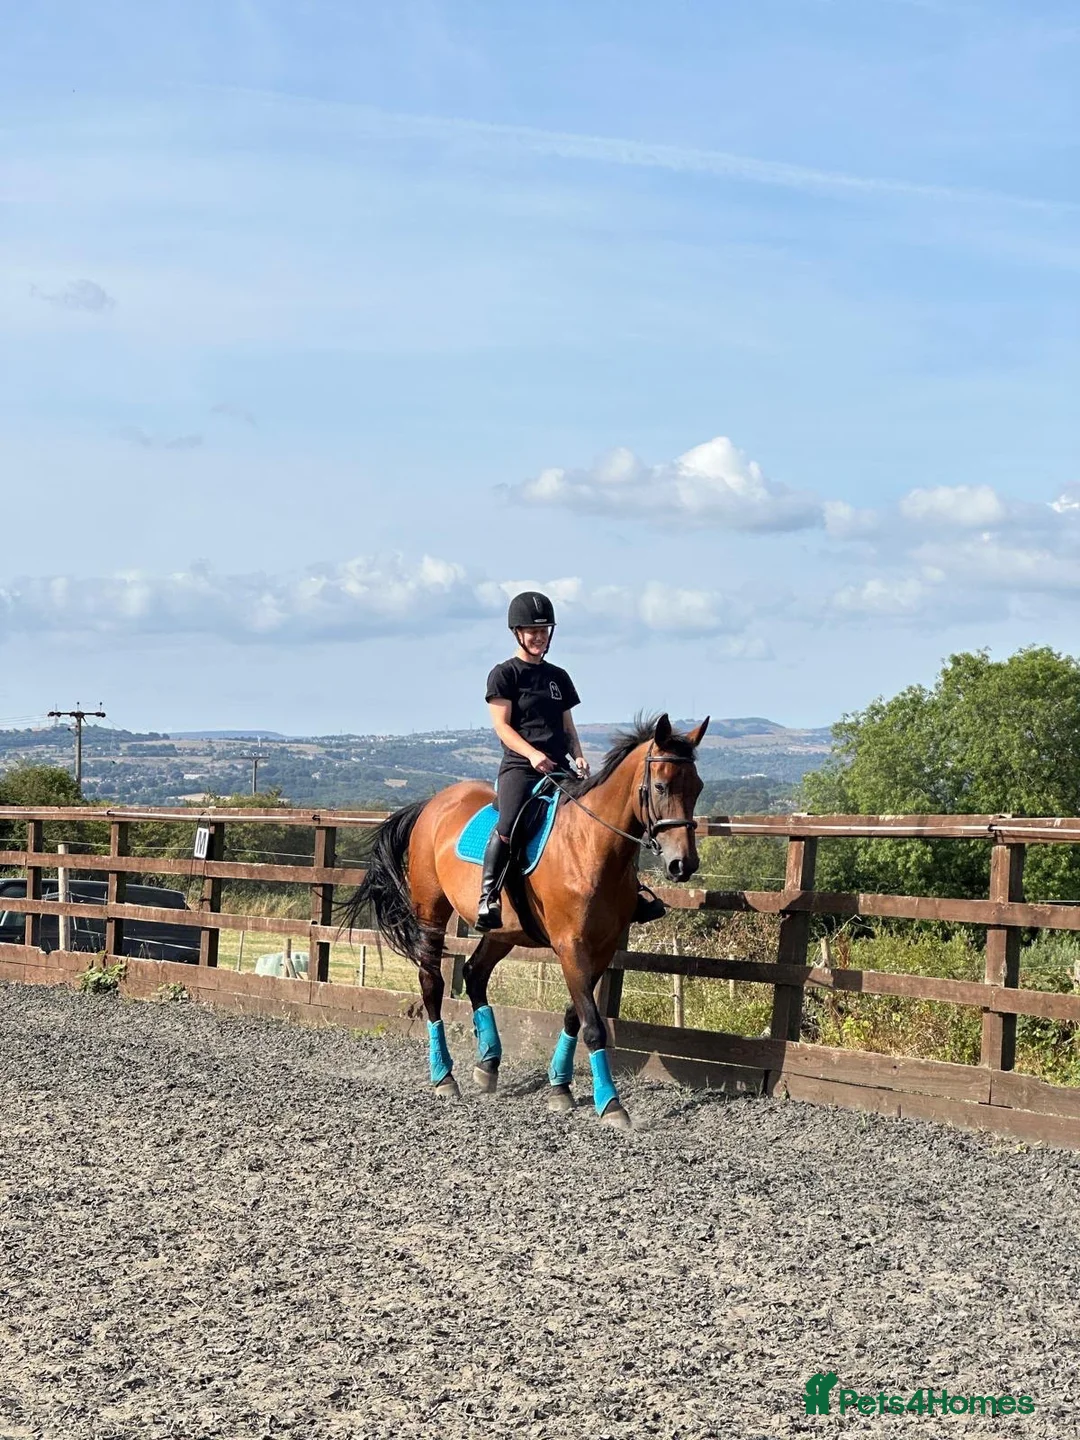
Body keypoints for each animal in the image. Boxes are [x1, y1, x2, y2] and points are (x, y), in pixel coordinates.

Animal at [340, 713, 708, 1129]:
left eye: (697, 787)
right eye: (661, 786)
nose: (683, 865)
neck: (590, 845)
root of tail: (433, 803)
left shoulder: (602, 947)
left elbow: (574, 1015)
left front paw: (560, 1088)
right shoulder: (571, 945)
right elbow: (593, 1026)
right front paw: (611, 1104)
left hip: (503, 930)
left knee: (474, 974)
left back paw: (488, 1064)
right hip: (431, 911)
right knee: (432, 984)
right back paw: (444, 1077)